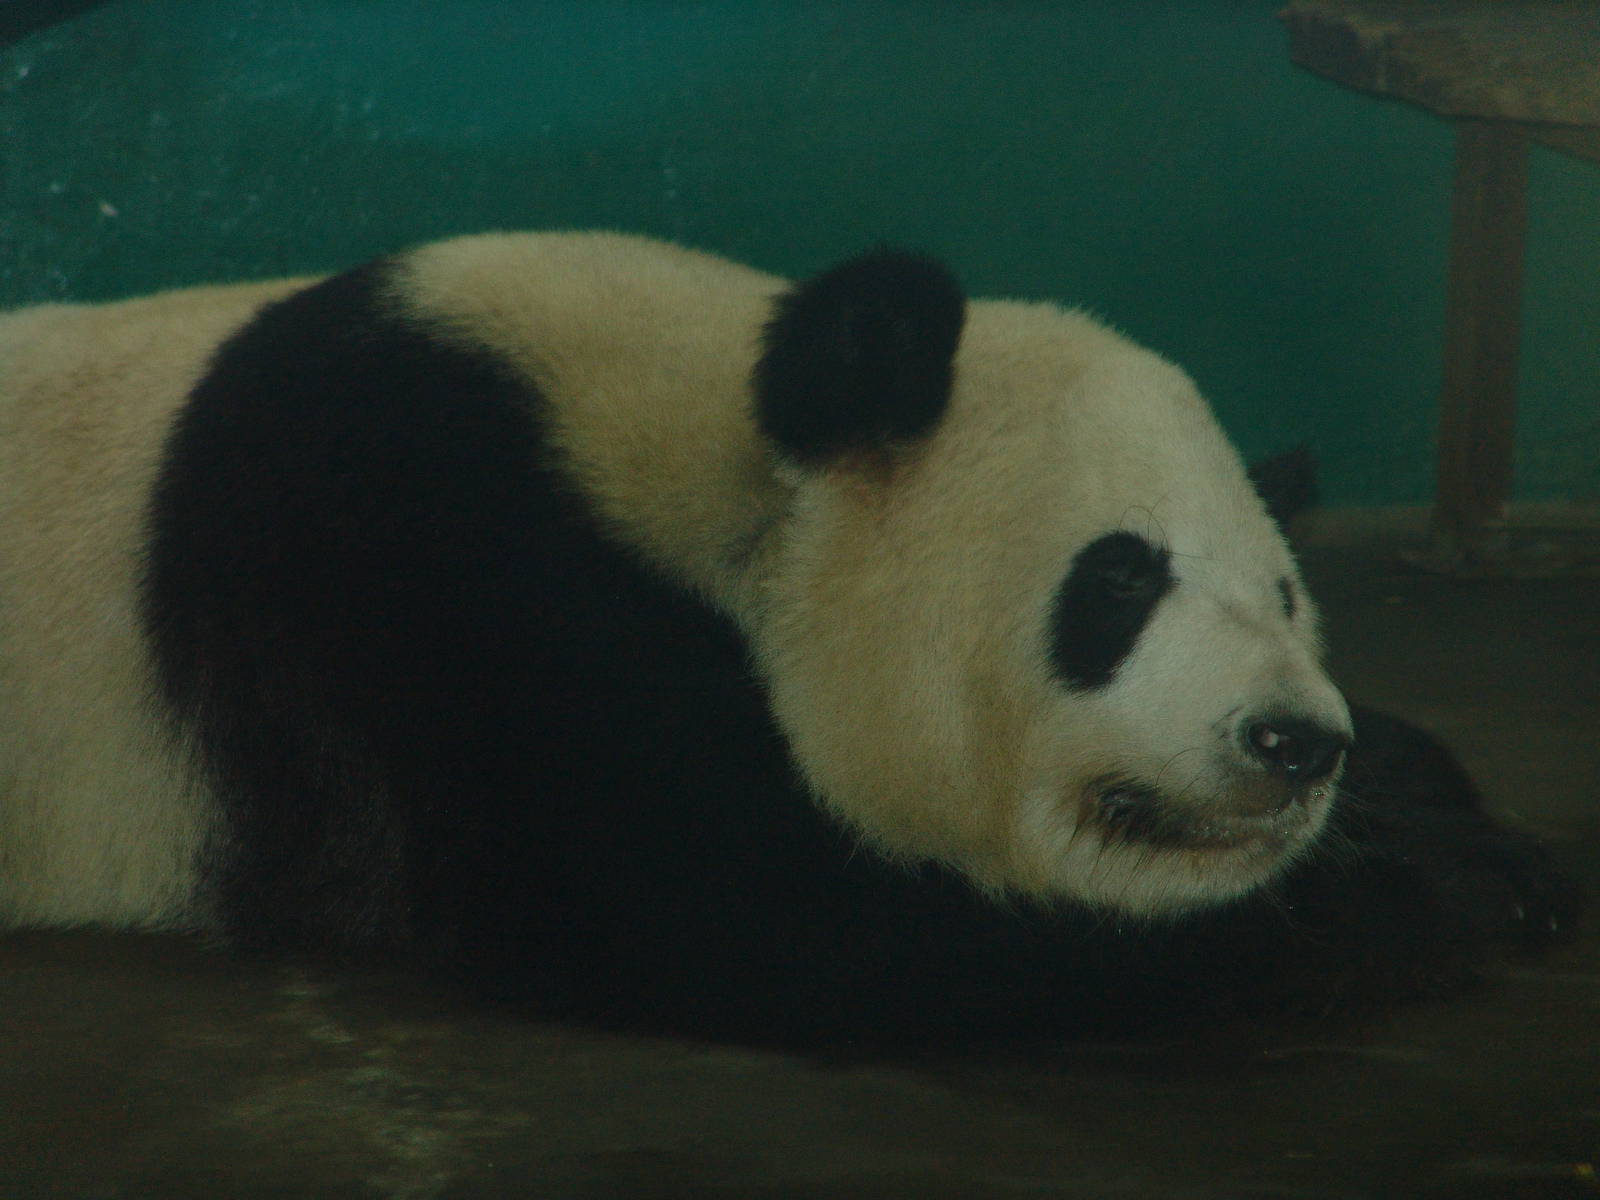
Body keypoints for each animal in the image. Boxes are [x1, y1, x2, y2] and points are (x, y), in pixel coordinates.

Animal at [0, 232, 1576, 1043]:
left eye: (1288, 596)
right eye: (1120, 580)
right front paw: (1415, 904)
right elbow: (735, 908)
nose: (1293, 743)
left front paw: (1461, 821)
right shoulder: (434, 551)